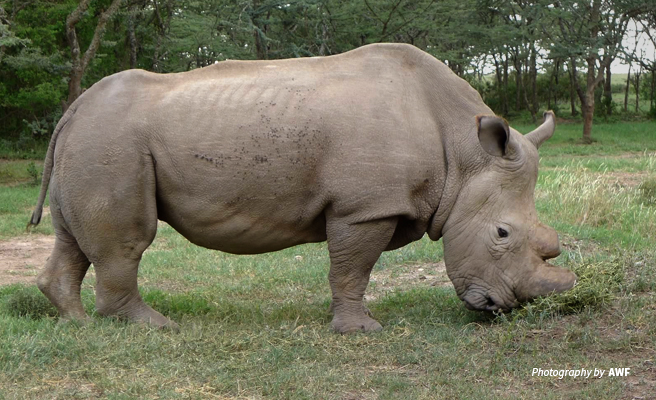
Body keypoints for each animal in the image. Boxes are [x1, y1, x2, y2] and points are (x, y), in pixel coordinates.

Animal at [29, 43, 576, 333]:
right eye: (502, 234)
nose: (500, 308)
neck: (465, 158)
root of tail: (73, 109)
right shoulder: (366, 207)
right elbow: (352, 269)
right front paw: (361, 331)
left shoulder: (374, 203)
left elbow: (351, 270)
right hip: (112, 141)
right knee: (127, 240)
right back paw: (153, 326)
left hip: (93, 140)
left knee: (72, 237)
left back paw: (76, 325)